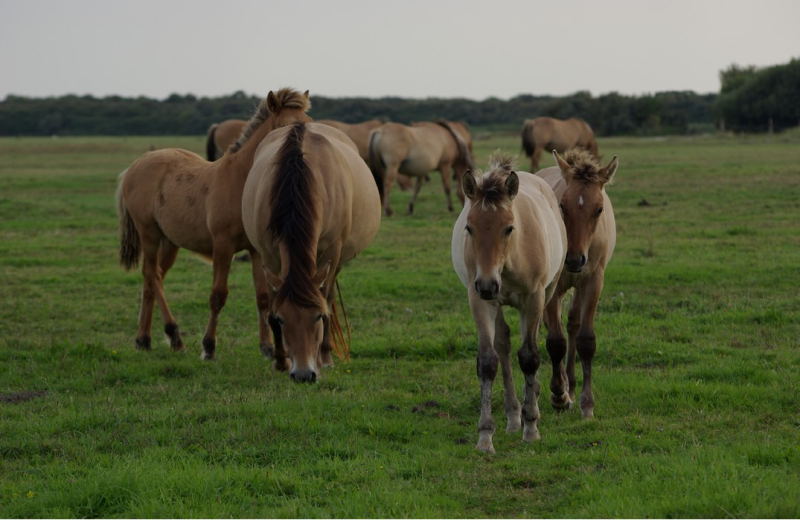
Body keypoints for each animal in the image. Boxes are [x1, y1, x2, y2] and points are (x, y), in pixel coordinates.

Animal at [117, 87, 314, 360]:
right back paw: (174, 336)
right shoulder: (223, 246)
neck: (242, 182)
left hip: (170, 242)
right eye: (284, 127)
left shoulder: (256, 250)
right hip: (149, 234)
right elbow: (218, 295)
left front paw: (266, 348)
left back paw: (143, 339)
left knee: (152, 280)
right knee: (152, 275)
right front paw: (208, 347)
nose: (303, 160)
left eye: (309, 124)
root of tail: (135, 165)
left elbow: (262, 297)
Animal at [241, 121, 382, 382]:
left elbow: (325, 300)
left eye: (316, 316)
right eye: (282, 319)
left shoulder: (331, 252)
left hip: (336, 262)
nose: (304, 374)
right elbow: (272, 303)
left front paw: (322, 358)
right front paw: (280, 361)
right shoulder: (269, 256)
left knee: (330, 294)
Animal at [454, 151, 564, 456]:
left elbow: (529, 357)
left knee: (533, 341)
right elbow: (488, 362)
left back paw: (531, 404)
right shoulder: (480, 301)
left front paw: (531, 427)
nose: (487, 284)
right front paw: (485, 436)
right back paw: (514, 416)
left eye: (509, 228)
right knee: (502, 343)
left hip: (547, 292)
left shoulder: (533, 298)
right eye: (469, 227)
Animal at [536, 146, 620, 418]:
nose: (573, 259)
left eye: (599, 209)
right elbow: (555, 341)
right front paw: (558, 395)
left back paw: (571, 386)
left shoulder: (593, 282)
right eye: (562, 205)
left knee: (572, 323)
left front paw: (586, 403)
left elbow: (585, 339)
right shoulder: (553, 286)